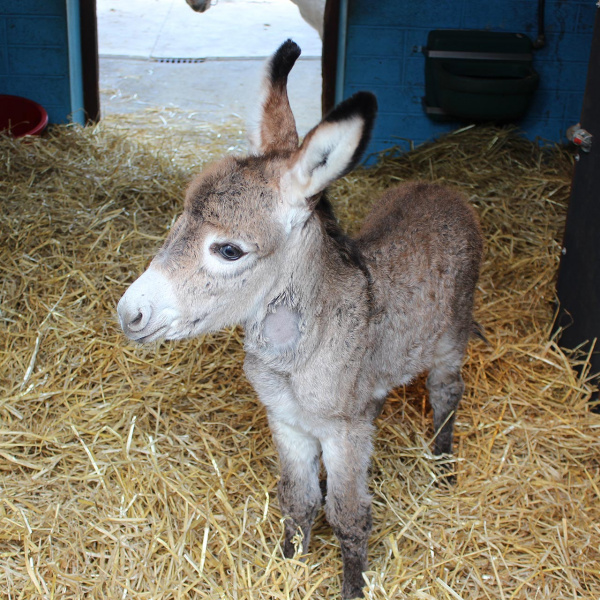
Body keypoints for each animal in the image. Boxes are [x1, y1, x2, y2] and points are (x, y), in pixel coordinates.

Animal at [117, 39, 482, 596]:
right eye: (177, 223)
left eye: (228, 249)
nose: (130, 313)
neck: (296, 356)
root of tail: (441, 188)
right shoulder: (286, 422)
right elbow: (299, 499)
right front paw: (288, 561)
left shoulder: (344, 433)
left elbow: (349, 515)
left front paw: (353, 585)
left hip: (450, 340)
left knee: (445, 394)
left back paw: (443, 465)